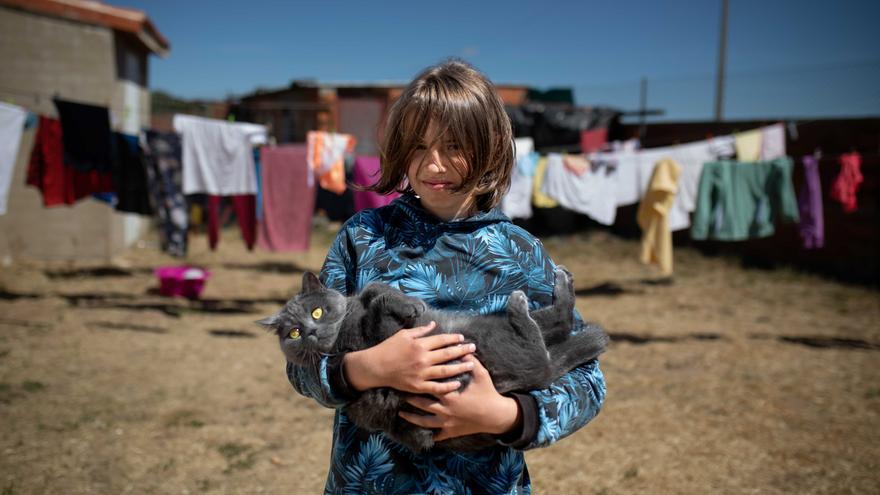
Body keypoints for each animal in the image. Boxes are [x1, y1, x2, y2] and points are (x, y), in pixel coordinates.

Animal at [258, 268, 608, 454]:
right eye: (293, 333)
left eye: (316, 312)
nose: (310, 331)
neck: (345, 326)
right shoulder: (377, 335)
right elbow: (378, 304)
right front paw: (408, 306)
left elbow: (372, 287)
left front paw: (403, 299)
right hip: (489, 336)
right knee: (544, 342)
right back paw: (526, 303)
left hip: (478, 323)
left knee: (556, 328)